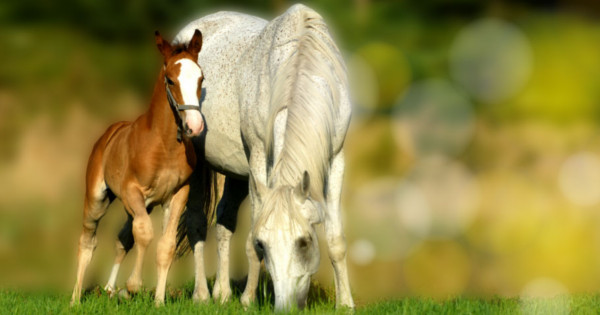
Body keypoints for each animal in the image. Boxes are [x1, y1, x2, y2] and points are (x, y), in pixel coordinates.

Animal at [70, 29, 205, 306]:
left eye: (201, 78)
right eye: (170, 80)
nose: (195, 126)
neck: (164, 145)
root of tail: (109, 133)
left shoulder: (177, 194)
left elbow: (165, 245)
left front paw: (159, 301)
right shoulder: (132, 191)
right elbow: (144, 233)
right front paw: (133, 286)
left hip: (142, 205)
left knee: (122, 238)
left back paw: (109, 290)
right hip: (98, 199)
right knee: (88, 240)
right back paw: (75, 299)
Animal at [173, 4, 352, 312]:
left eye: (304, 242)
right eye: (263, 244)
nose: (286, 307)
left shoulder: (336, 158)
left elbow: (336, 239)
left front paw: (346, 303)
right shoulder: (257, 156)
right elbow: (249, 238)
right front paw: (248, 299)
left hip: (235, 173)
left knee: (224, 222)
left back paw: (222, 294)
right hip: (198, 162)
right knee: (197, 222)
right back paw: (202, 296)